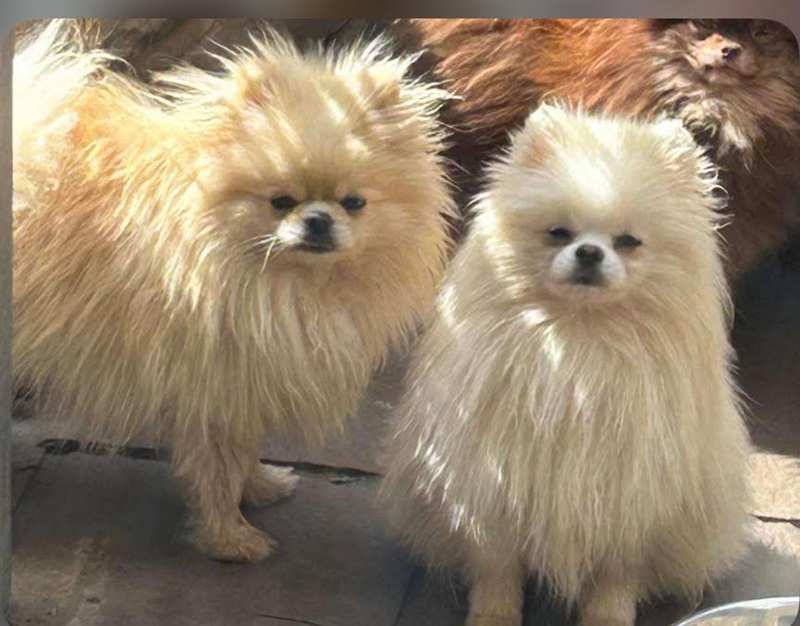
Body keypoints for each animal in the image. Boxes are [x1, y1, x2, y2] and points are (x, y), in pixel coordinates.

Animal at [13, 19, 454, 562]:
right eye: (280, 201)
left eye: (354, 203)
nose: (318, 220)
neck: (283, 281)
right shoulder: (216, 386)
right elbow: (218, 470)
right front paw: (230, 538)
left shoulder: (246, 380)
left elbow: (244, 452)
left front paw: (260, 487)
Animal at [380, 104, 751, 626]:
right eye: (558, 234)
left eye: (629, 241)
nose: (590, 252)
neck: (577, 340)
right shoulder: (492, 485)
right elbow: (497, 566)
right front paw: (494, 614)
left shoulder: (631, 501)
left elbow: (616, 576)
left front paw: (608, 617)